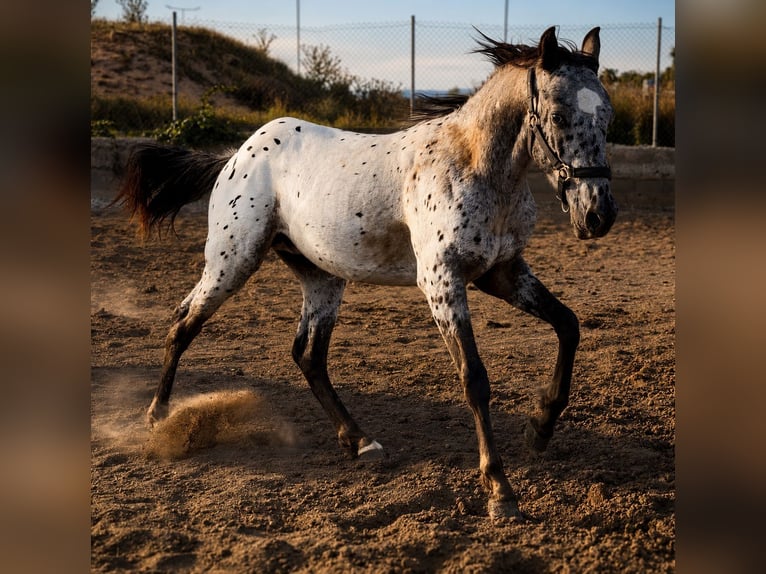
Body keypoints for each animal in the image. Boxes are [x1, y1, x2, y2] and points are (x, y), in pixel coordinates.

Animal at [117, 26, 617, 521]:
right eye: (557, 114)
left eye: (607, 115)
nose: (598, 215)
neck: (474, 166)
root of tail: (237, 155)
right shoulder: (442, 282)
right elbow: (474, 378)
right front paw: (499, 489)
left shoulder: (501, 273)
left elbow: (568, 325)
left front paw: (540, 427)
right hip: (231, 261)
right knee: (184, 322)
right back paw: (158, 418)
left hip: (321, 277)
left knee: (307, 355)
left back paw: (360, 442)